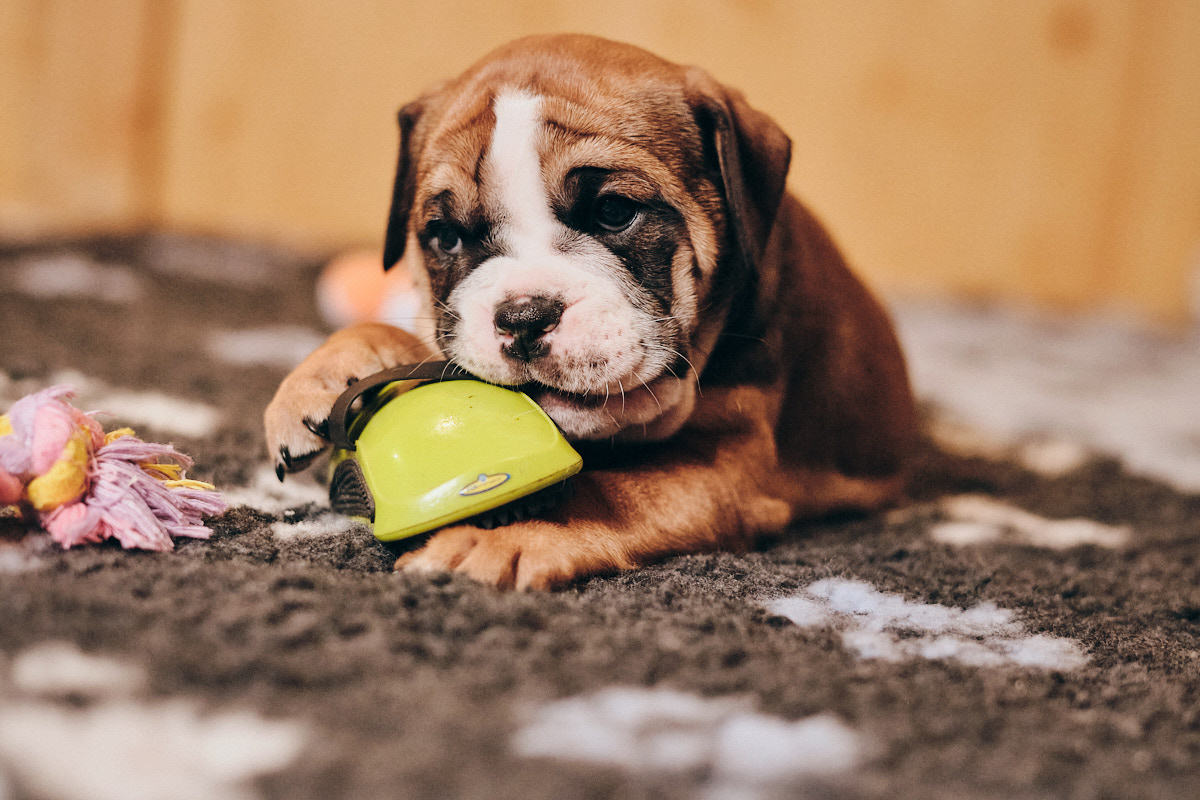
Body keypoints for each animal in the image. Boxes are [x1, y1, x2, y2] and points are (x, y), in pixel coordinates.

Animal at [265, 32, 916, 587]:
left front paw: (499, 532)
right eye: (445, 235)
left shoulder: (724, 470)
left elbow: (605, 491)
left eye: (613, 212)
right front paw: (326, 374)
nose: (523, 316)